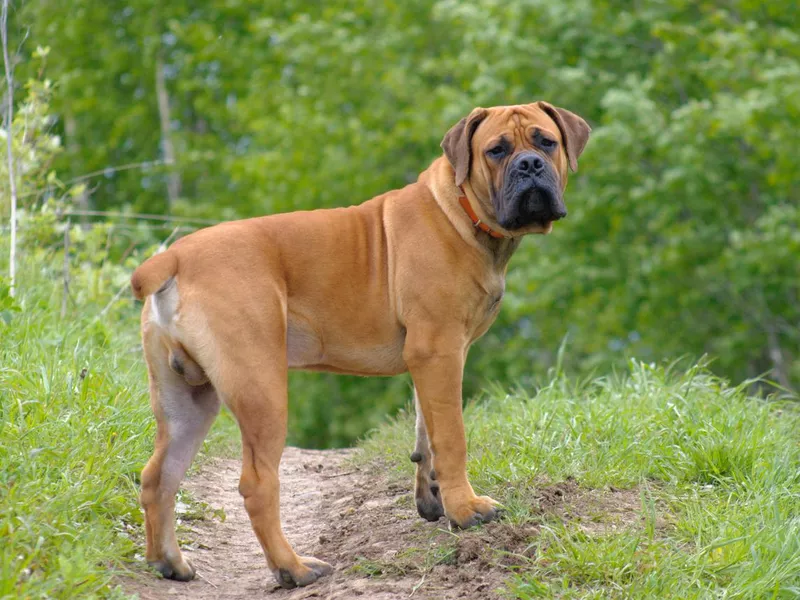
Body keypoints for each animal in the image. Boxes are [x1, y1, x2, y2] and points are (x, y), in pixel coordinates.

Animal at [131, 101, 592, 588]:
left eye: (546, 141)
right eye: (497, 150)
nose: (530, 165)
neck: (461, 210)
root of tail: (174, 257)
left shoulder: (433, 358)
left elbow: (426, 432)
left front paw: (432, 498)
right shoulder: (440, 349)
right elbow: (452, 437)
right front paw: (465, 509)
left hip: (188, 399)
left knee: (159, 476)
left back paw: (170, 562)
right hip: (261, 389)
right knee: (257, 484)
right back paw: (293, 568)